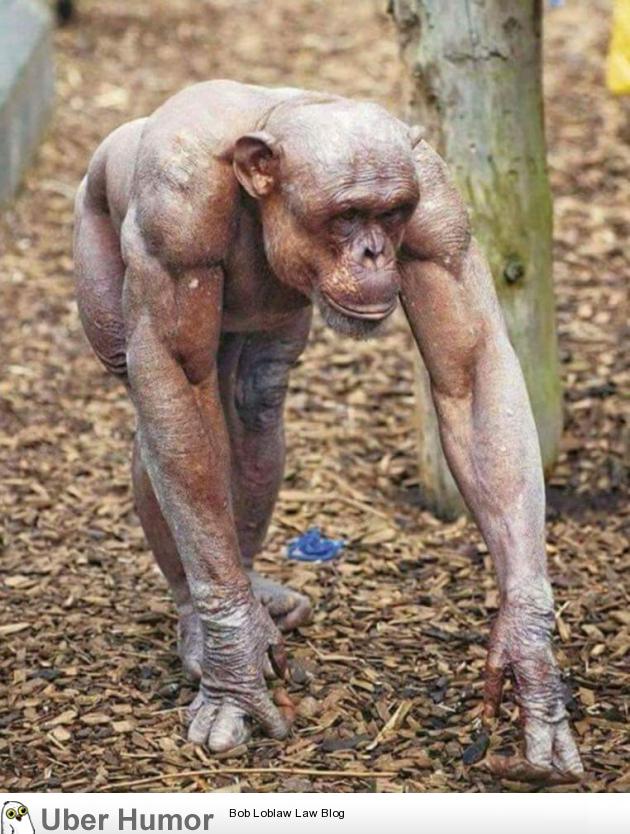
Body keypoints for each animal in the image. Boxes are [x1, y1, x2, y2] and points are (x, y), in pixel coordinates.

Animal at [73, 79, 583, 783]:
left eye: (391, 214)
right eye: (346, 215)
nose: (374, 252)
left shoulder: (439, 217)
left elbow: (471, 370)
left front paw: (529, 658)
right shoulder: (172, 218)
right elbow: (175, 379)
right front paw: (233, 664)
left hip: (272, 331)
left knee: (254, 403)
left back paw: (254, 588)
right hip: (95, 236)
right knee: (168, 415)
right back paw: (202, 622)